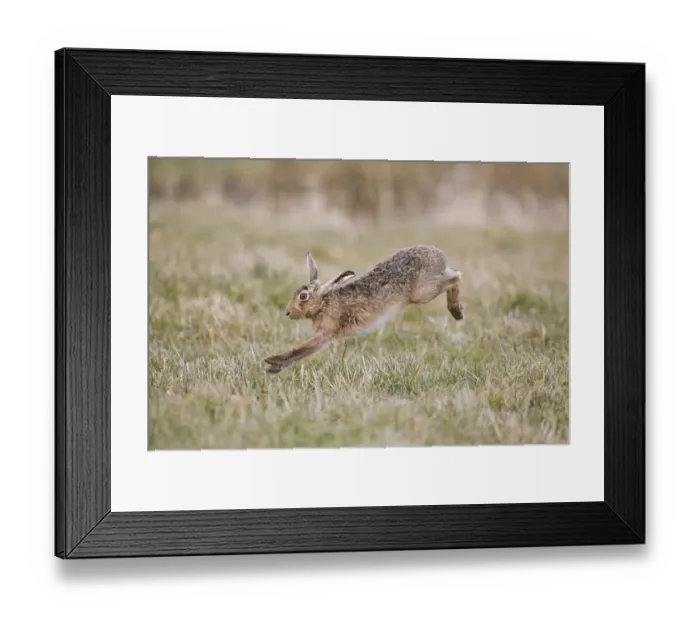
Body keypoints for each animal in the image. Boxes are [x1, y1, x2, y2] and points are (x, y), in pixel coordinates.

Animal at [264, 245, 464, 374]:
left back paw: (456, 310)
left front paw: (272, 362)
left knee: (456, 277)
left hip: (422, 292)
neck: (323, 303)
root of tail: (439, 256)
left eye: (303, 296)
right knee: (454, 273)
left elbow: (302, 349)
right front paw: (273, 367)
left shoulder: (326, 333)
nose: (288, 312)